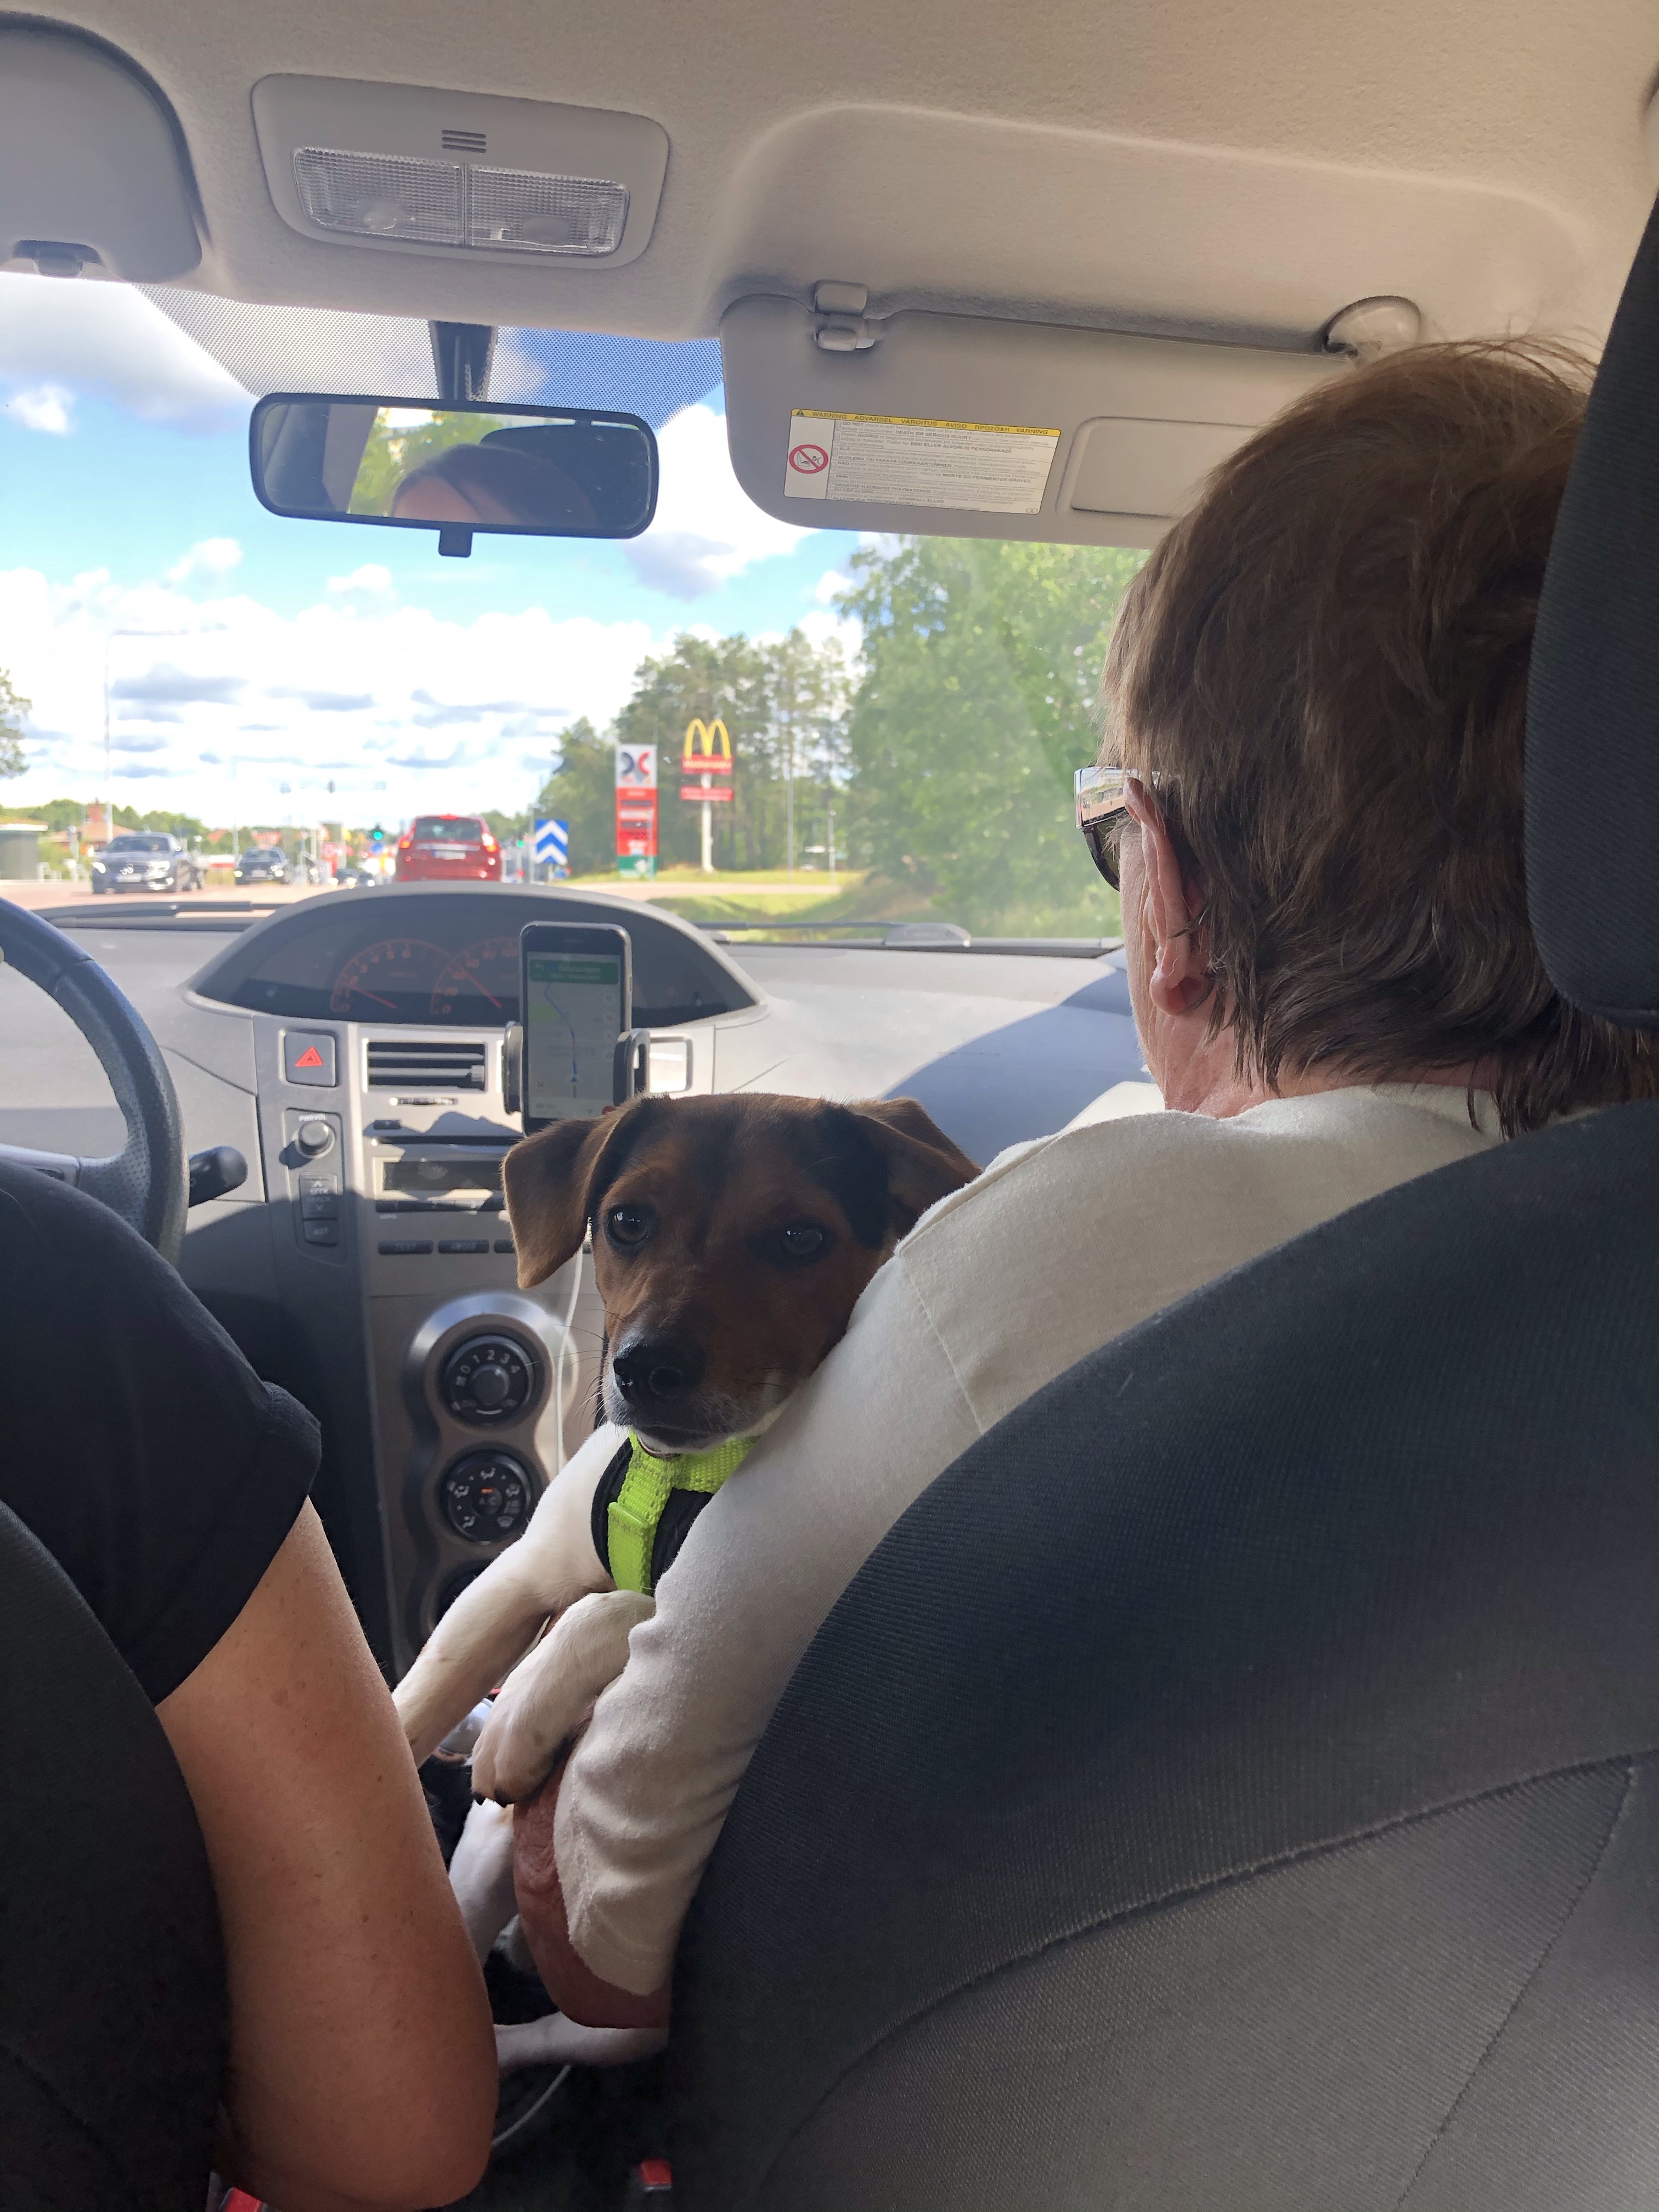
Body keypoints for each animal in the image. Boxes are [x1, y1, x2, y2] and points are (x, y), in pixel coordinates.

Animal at [395, 1090, 978, 1807]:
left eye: (800, 1237)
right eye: (627, 1221)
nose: (645, 1368)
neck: (675, 1474)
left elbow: (617, 1605)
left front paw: (523, 1709)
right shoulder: (521, 1574)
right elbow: (414, 1703)